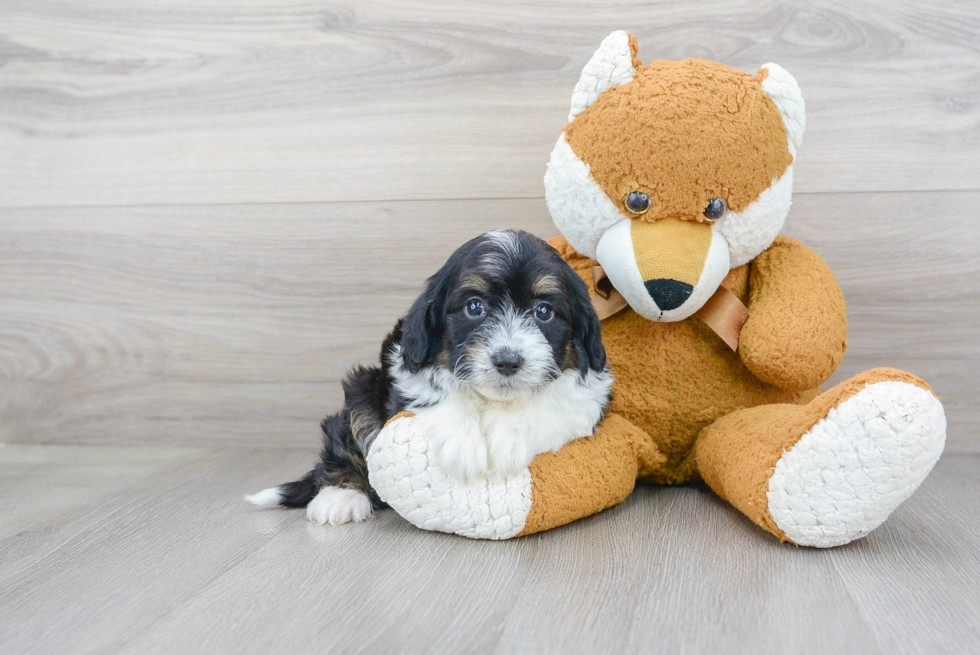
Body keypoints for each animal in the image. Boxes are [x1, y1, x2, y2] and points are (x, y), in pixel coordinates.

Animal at [245, 231, 608, 528]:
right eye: (474, 307)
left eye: (543, 312)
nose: (507, 361)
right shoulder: (405, 365)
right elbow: (438, 392)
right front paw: (463, 445)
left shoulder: (590, 393)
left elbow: (556, 401)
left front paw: (512, 436)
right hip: (362, 389)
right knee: (345, 444)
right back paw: (340, 496)